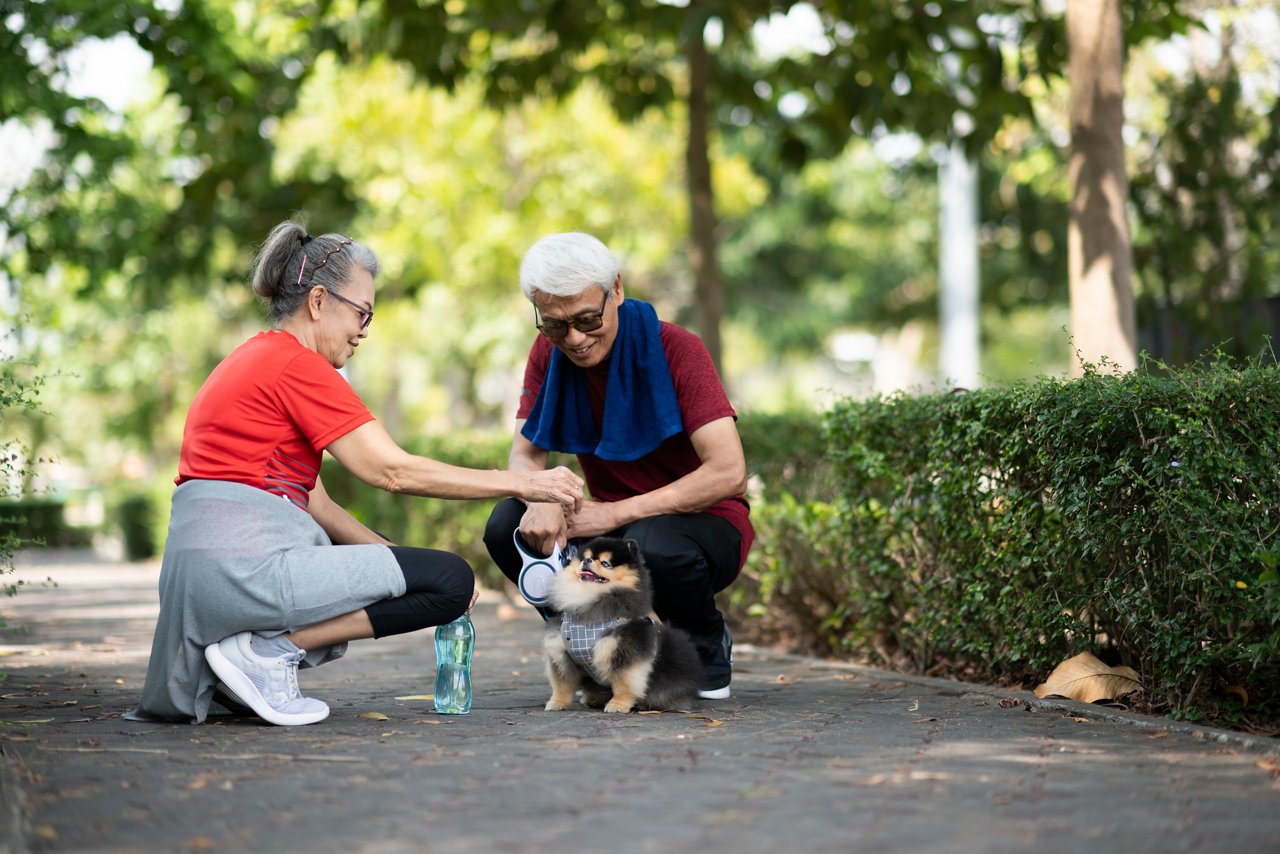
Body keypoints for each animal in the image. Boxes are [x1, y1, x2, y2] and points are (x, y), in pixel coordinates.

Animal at [540, 537, 701, 711]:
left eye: (605, 563)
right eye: (585, 558)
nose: (587, 561)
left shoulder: (624, 650)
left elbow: (624, 684)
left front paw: (618, 704)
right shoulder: (560, 651)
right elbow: (562, 683)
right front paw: (558, 702)